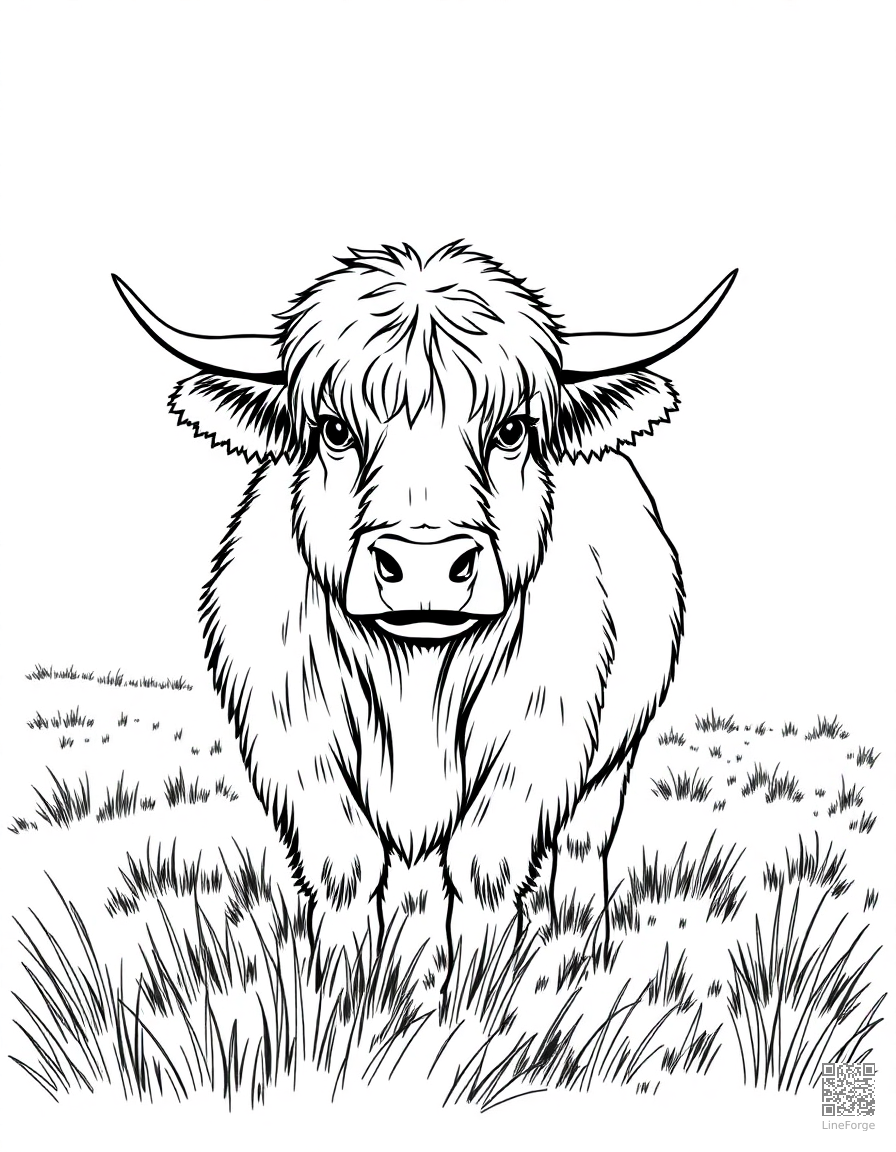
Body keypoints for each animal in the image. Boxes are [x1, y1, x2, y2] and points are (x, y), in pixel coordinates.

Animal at [114, 241, 735, 1003]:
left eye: (511, 429)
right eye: (335, 429)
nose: (425, 562)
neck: (415, 674)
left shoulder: (539, 741)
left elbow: (483, 870)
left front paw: (475, 999)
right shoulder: (292, 739)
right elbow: (345, 869)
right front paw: (344, 997)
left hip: (616, 753)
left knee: (586, 840)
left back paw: (582, 944)